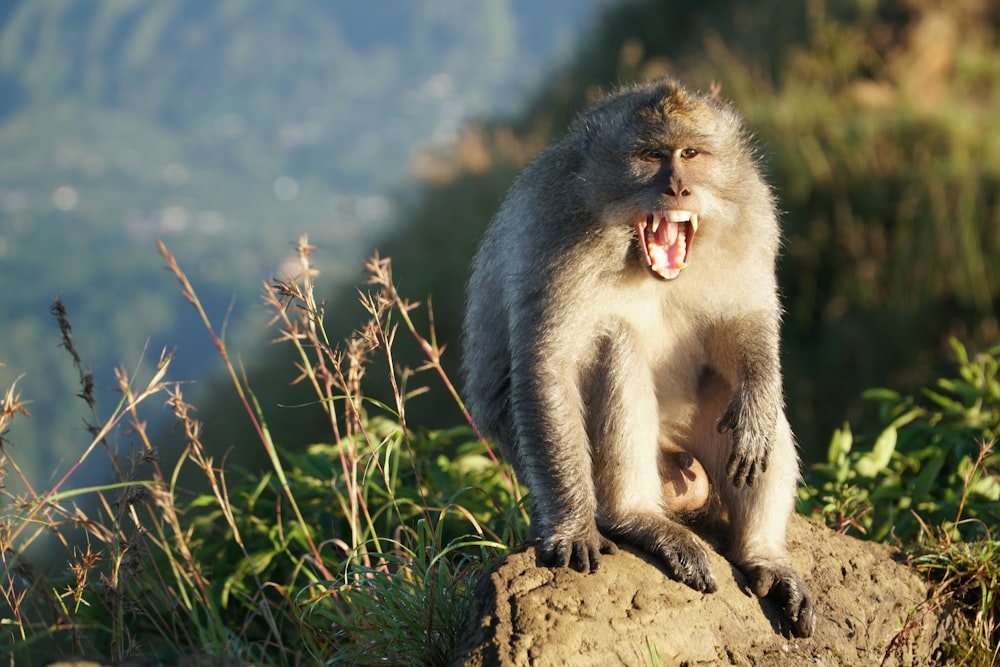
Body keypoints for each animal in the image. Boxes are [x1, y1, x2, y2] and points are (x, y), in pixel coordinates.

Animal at [464, 75, 816, 640]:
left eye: (690, 153)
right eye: (652, 156)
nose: (677, 188)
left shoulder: (754, 214)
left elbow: (743, 319)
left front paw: (759, 398)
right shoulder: (554, 235)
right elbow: (548, 369)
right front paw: (573, 526)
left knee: (730, 396)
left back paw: (763, 557)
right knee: (615, 343)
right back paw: (635, 518)